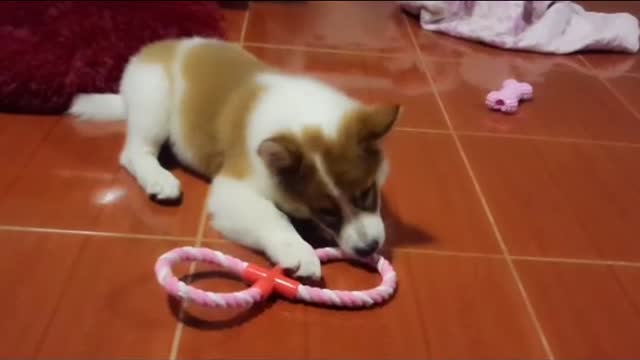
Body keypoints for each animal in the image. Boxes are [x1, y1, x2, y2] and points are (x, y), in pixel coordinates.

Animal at [71, 38, 400, 278]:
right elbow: (273, 215)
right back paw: (159, 179)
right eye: (326, 211)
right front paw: (298, 251)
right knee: (134, 152)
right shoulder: (233, 188)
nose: (368, 247)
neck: (302, 116)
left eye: (366, 193)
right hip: (154, 101)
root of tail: (149, 52)